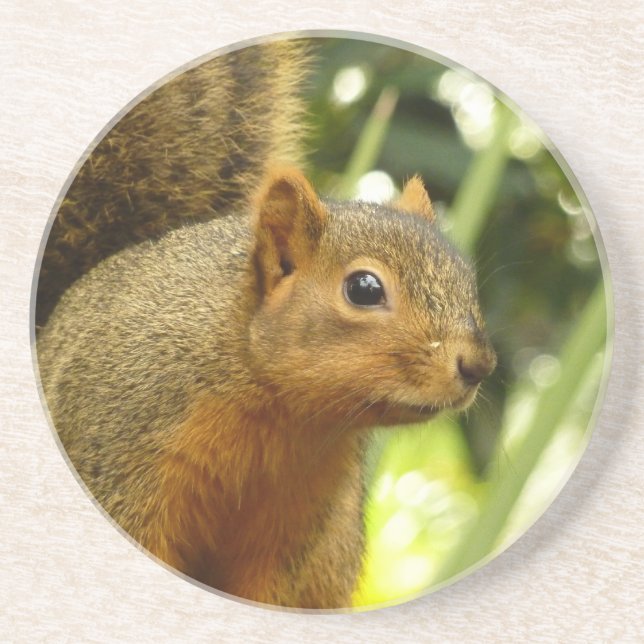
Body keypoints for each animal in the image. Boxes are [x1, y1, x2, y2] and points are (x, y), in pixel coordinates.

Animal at [35, 39, 496, 609]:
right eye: (364, 289)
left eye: (466, 279)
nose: (479, 364)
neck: (280, 416)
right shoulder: (122, 453)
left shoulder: (298, 522)